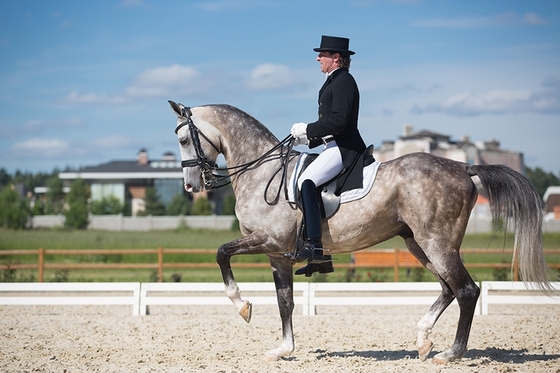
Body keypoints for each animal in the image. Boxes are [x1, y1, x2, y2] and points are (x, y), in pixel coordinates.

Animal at [167, 101, 552, 364]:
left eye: (185, 138)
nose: (190, 186)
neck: (262, 172)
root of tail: (464, 166)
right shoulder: (278, 256)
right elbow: (285, 301)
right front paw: (283, 349)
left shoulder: (269, 241)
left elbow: (221, 252)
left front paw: (242, 305)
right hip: (419, 245)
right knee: (448, 288)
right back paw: (423, 340)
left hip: (436, 244)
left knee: (466, 290)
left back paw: (450, 354)